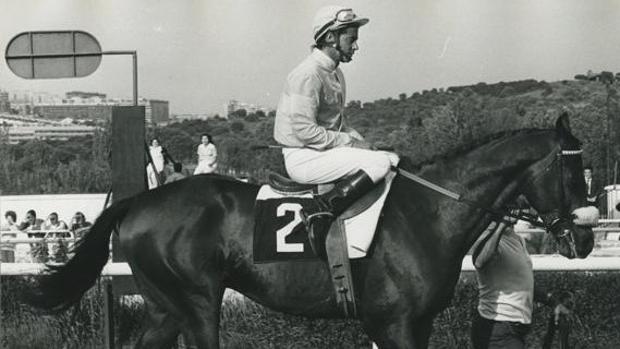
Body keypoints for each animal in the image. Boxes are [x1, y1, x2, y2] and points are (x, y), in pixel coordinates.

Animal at [27, 113, 596, 346]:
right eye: (574, 173)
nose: (588, 236)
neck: (429, 211)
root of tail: (139, 200)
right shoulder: (395, 323)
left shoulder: (412, 324)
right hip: (196, 303)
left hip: (165, 305)